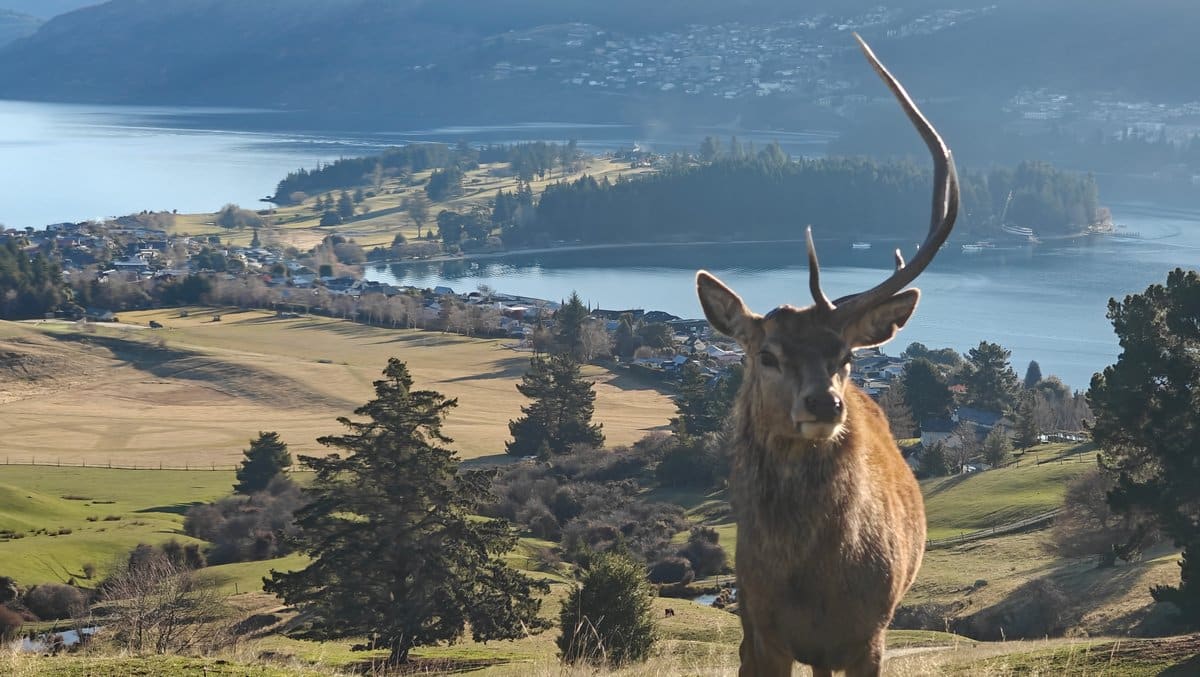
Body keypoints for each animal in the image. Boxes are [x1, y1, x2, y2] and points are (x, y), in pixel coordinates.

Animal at [694, 35, 958, 677]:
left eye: (845, 355)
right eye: (765, 354)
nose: (825, 402)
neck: (810, 585)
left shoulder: (870, 633)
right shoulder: (759, 632)